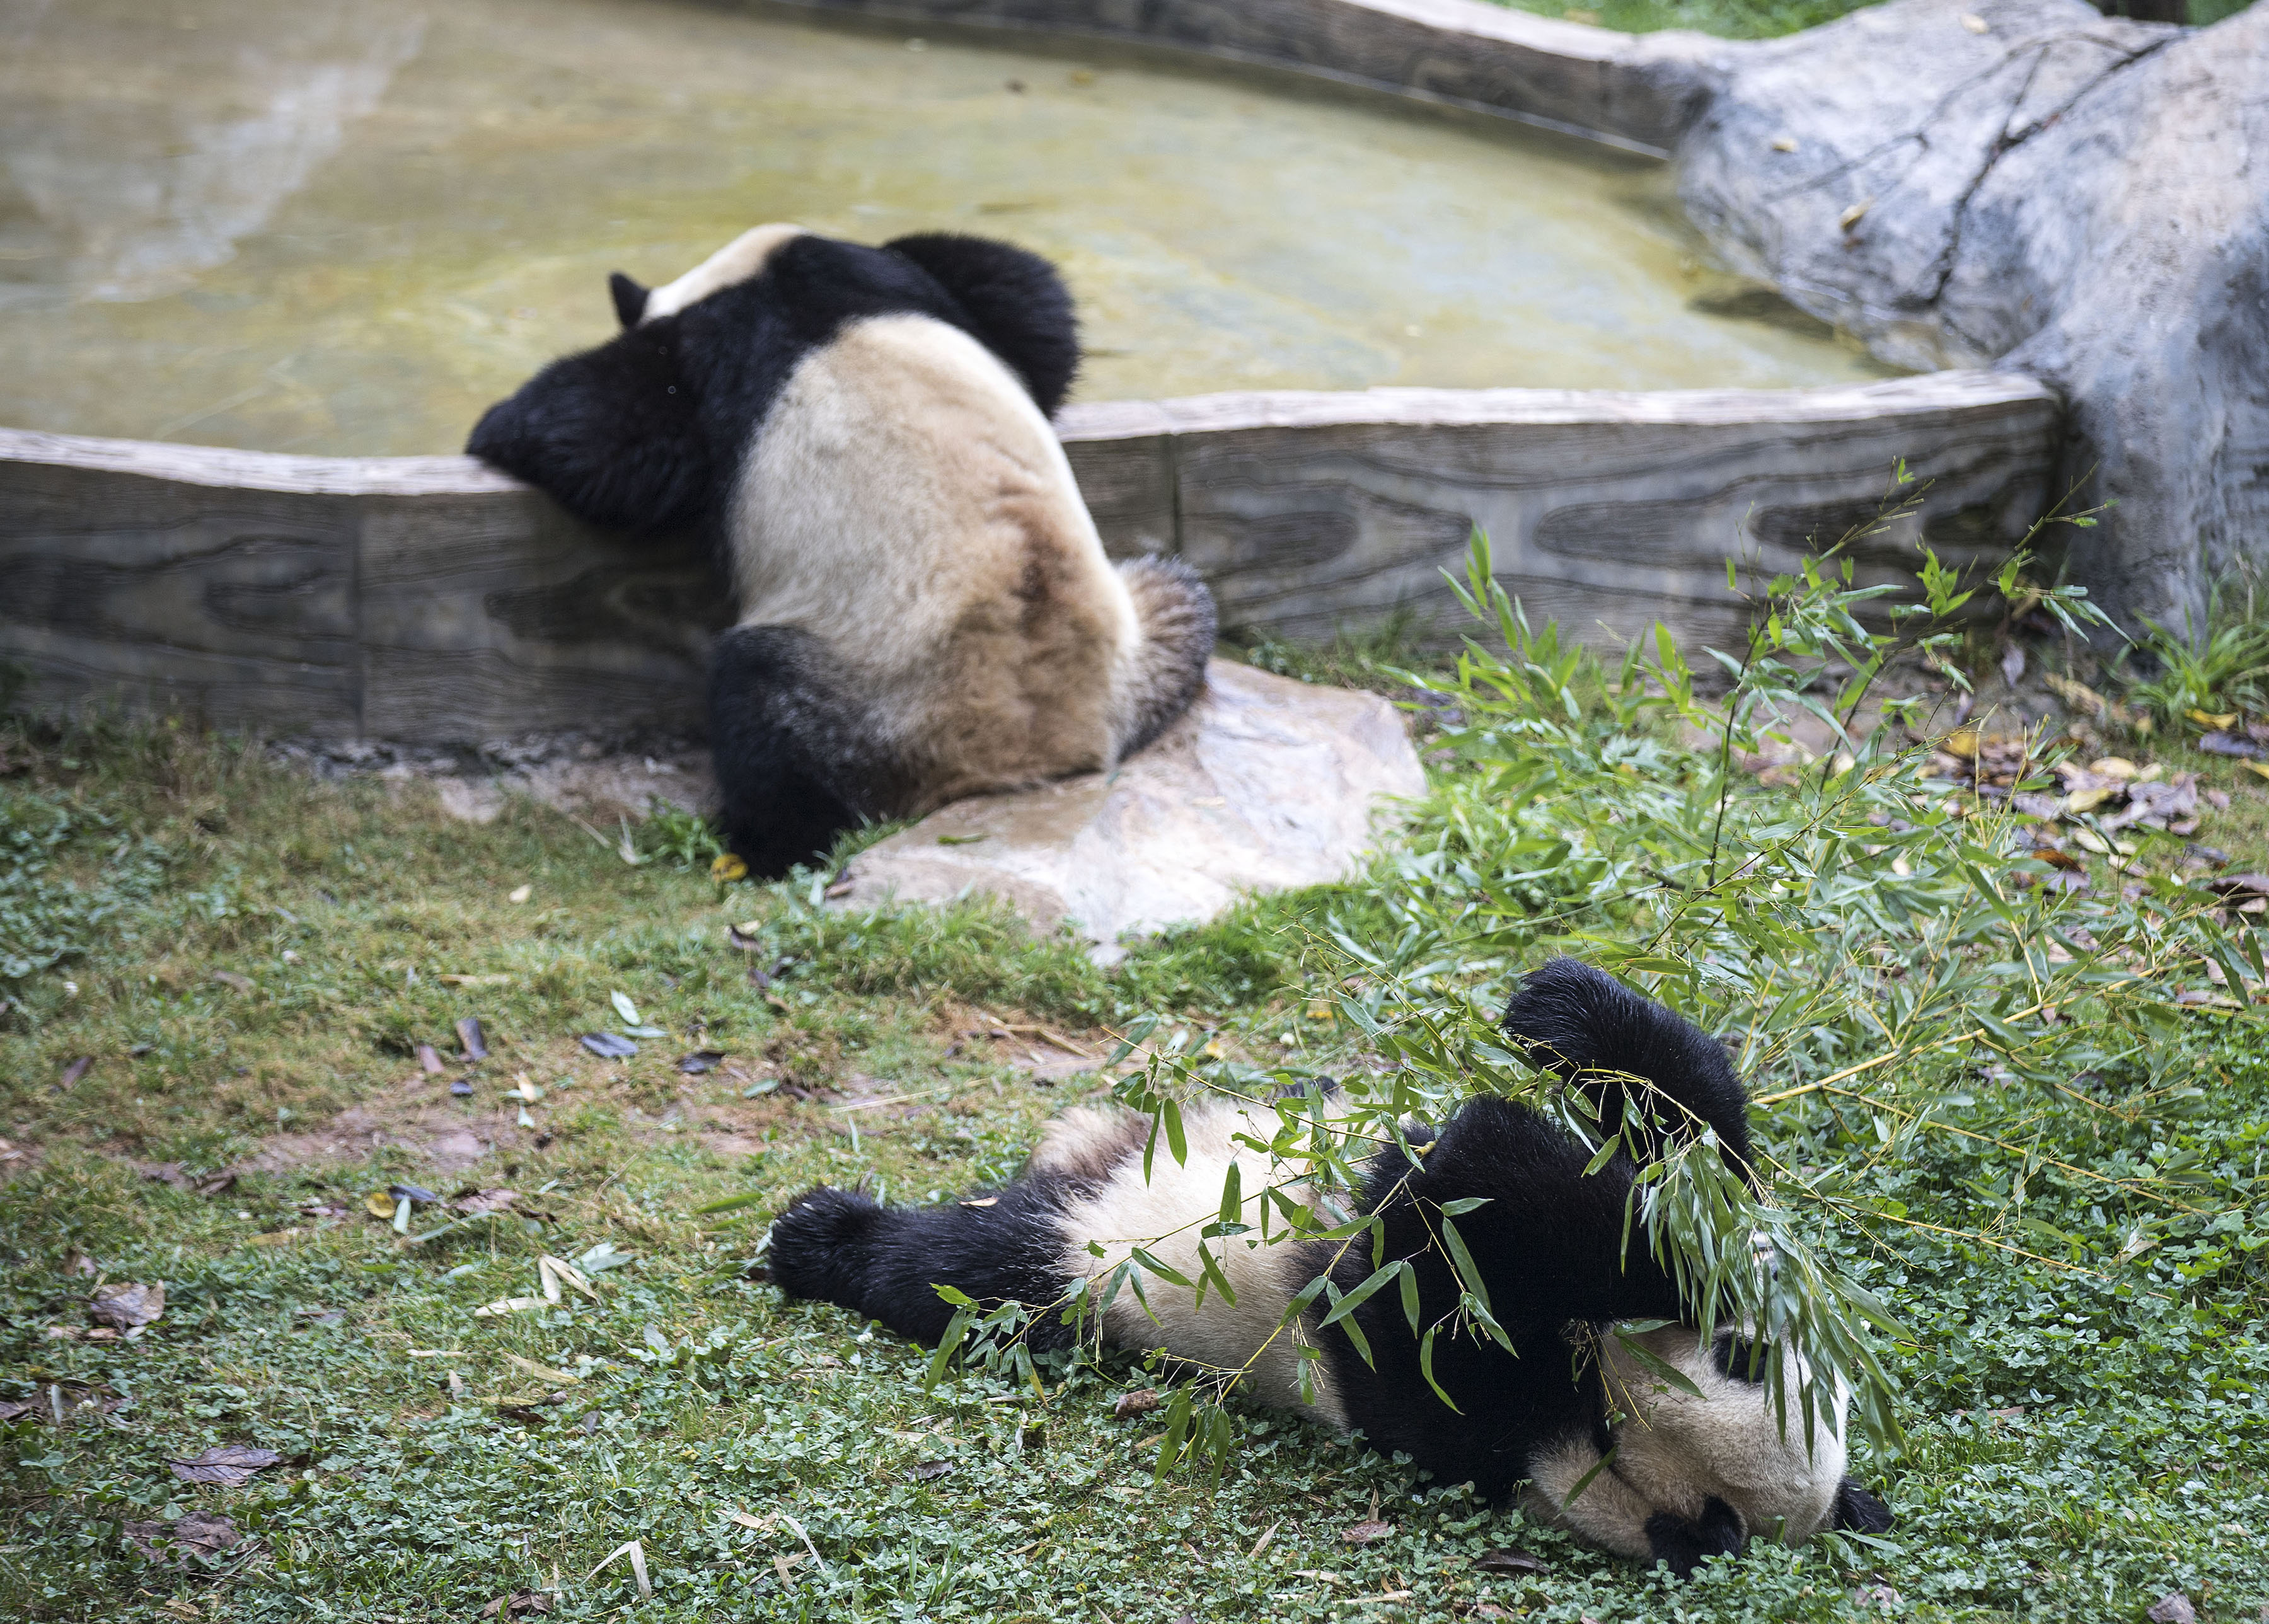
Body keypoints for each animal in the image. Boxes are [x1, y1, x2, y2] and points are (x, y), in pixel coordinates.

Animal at [470, 227, 1225, 875]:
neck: (755, 270)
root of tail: (1037, 751)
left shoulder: (708, 348)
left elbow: (615, 430)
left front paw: (495, 429)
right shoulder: (898, 272)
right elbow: (1030, 307)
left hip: (871, 700)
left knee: (766, 717)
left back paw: (758, 846)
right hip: (1143, 645)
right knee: (1183, 598)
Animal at [771, 957, 1888, 1579]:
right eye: (1750, 1355)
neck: (1584, 1405)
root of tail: (1085, 1153)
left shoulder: (1455, 1404)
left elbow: (1452, 1242)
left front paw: (1471, 1151)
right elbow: (1698, 1156)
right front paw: (1562, 1017)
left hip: (1089, 1261)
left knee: (966, 1270)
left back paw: (823, 1236)